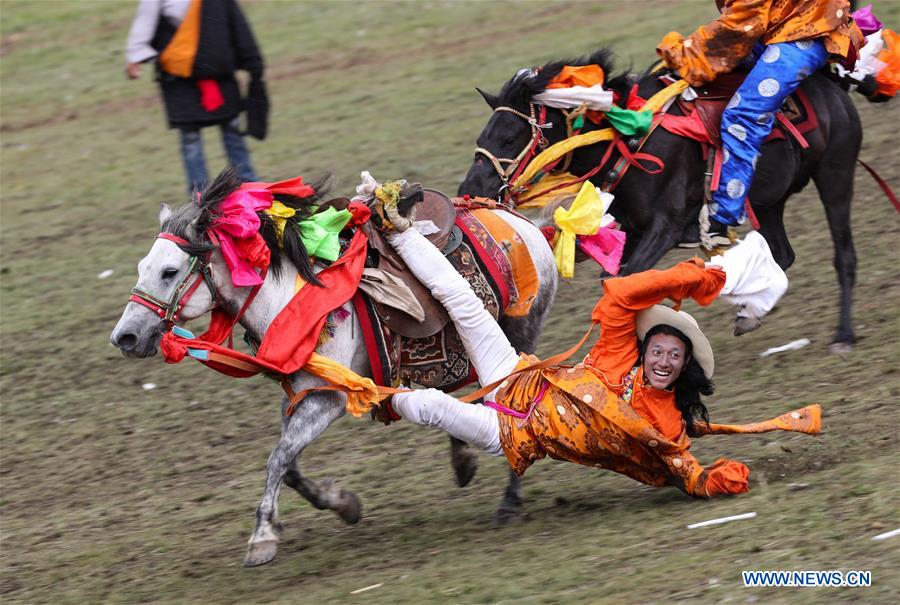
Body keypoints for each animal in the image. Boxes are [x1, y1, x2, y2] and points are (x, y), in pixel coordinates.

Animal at [110, 173, 560, 568]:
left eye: (169, 271)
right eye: (142, 266)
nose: (125, 337)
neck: (290, 301)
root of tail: (528, 225)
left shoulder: (329, 400)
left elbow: (277, 459)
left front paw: (262, 539)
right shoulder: (301, 396)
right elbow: (289, 464)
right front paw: (344, 505)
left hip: (518, 333)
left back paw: (508, 501)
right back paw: (463, 460)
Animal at [460, 49, 860, 352]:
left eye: (510, 138)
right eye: (482, 137)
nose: (471, 186)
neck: (626, 139)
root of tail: (830, 84)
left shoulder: (665, 228)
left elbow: (627, 282)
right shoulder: (635, 230)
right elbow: (622, 282)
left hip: (835, 174)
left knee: (844, 255)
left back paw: (843, 335)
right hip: (768, 202)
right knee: (782, 253)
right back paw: (751, 311)